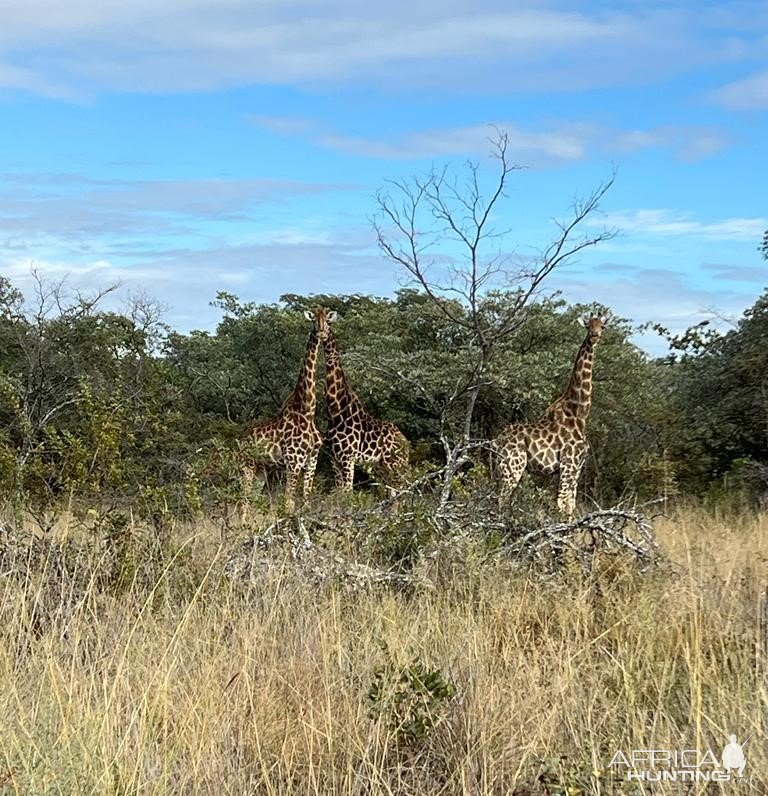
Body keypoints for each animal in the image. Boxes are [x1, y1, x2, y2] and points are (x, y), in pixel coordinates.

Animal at [240, 308, 330, 512]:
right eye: (314, 320)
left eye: (328, 320)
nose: (322, 333)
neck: (307, 412)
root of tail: (241, 440)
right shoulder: (293, 462)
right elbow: (289, 502)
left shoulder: (312, 461)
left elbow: (305, 501)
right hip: (247, 466)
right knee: (243, 501)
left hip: (262, 469)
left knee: (251, 500)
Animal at [320, 310, 412, 492]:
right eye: (314, 320)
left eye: (329, 322)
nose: (321, 334)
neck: (335, 411)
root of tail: (405, 441)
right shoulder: (334, 459)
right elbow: (340, 491)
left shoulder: (348, 458)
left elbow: (348, 492)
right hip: (383, 465)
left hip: (395, 463)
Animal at [492, 314, 612, 520]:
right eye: (588, 326)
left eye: (602, 326)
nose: (595, 336)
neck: (579, 413)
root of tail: (497, 441)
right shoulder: (568, 463)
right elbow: (562, 504)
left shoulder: (577, 468)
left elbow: (571, 505)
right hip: (514, 466)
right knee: (502, 499)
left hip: (504, 468)